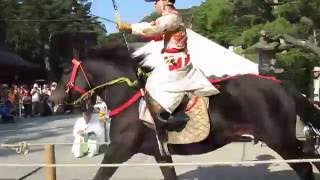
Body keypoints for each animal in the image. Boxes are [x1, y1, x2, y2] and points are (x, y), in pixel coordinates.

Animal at [49, 43, 320, 180]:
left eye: (65, 71)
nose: (53, 100)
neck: (129, 96)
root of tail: (279, 83)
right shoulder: (160, 152)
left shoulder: (119, 149)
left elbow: (100, 175)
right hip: (284, 139)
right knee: (310, 154)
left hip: (278, 139)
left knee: (305, 166)